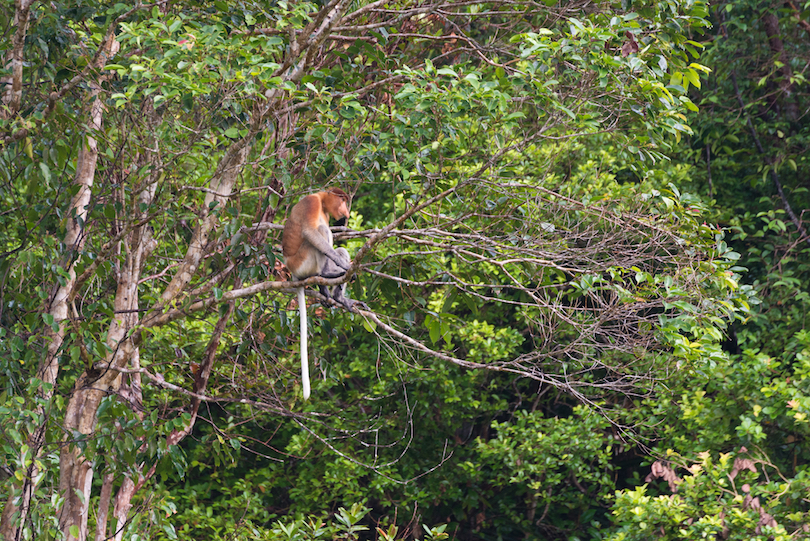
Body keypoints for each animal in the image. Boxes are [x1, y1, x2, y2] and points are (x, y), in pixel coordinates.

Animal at [280, 188, 362, 398]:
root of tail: (292, 272)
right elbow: (311, 232)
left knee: (336, 244)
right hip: (302, 262)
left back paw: (335, 294)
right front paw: (341, 266)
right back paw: (327, 274)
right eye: (342, 200)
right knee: (319, 233)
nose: (345, 211)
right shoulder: (312, 203)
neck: (322, 200)